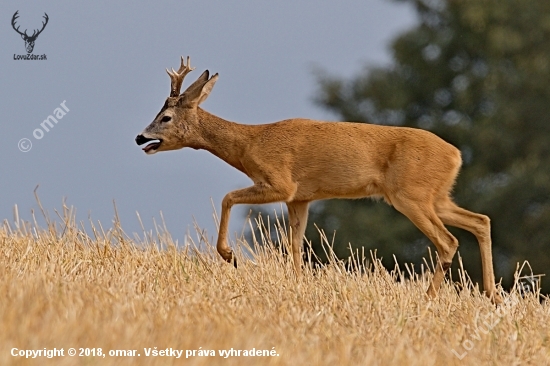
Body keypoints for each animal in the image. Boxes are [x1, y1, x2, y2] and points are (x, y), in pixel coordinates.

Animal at [136, 56, 502, 304]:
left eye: (165, 117)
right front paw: (297, 285)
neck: (250, 144)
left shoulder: (281, 183)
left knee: (448, 241)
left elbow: (228, 198)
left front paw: (229, 255)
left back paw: (429, 297)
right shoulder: (301, 197)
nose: (140, 137)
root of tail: (456, 155)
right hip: (436, 196)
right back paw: (492, 295)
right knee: (480, 220)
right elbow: (295, 243)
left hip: (410, 195)